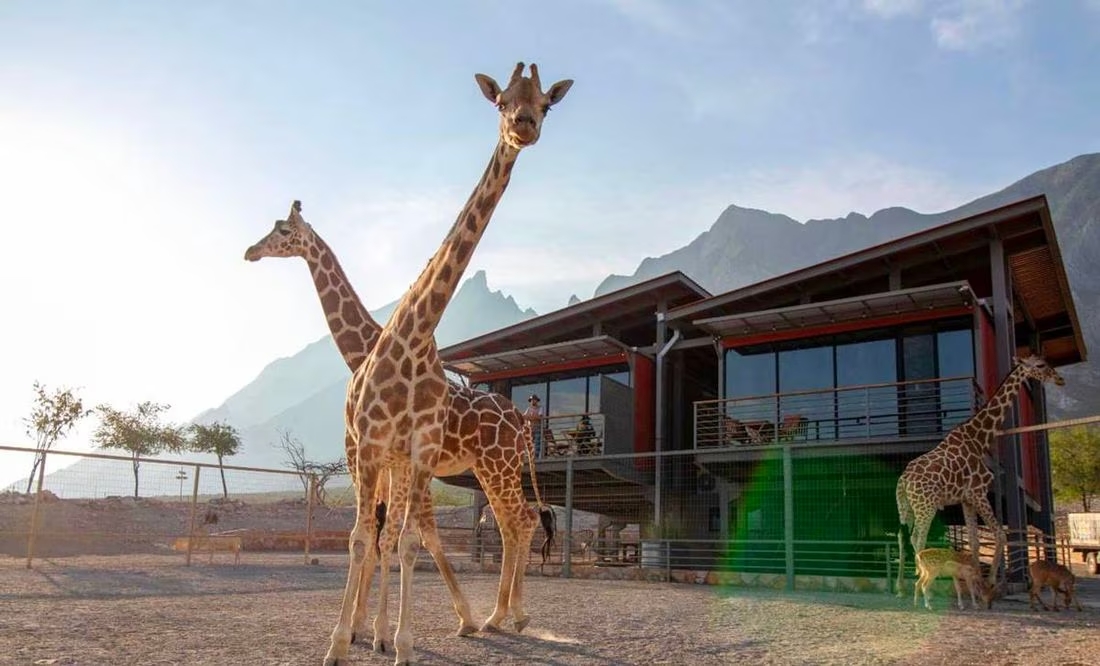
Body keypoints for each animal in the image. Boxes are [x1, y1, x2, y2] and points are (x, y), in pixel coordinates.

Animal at [244, 200, 555, 650]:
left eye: (283, 230)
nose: (251, 251)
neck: (365, 349)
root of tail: (520, 418)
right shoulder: (393, 460)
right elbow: (398, 534)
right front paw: (383, 625)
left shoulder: (375, 454)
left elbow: (392, 535)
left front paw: (373, 630)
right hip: (492, 469)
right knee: (510, 524)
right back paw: (500, 615)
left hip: (498, 467)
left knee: (523, 520)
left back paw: (509, 614)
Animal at [895, 354, 1064, 596]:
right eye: (1040, 365)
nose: (1060, 379)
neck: (979, 438)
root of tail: (903, 480)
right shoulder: (978, 493)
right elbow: (999, 534)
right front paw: (991, 581)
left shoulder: (966, 499)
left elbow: (975, 541)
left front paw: (976, 581)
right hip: (925, 505)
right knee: (917, 537)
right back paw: (923, 582)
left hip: (906, 506)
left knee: (902, 536)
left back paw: (901, 585)